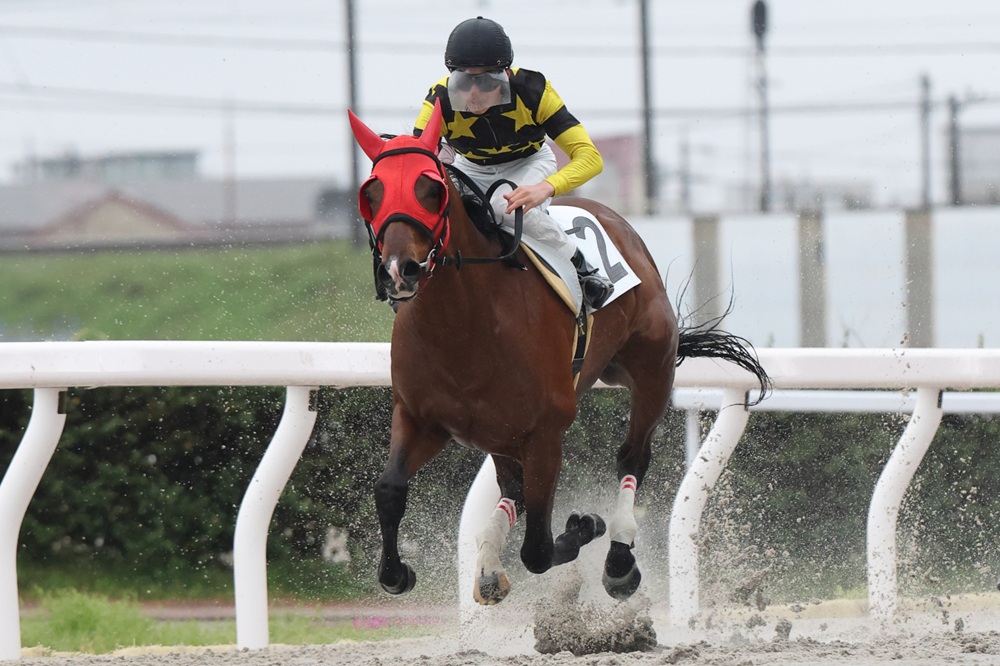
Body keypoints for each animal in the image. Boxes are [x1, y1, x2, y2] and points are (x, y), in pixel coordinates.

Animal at [348, 100, 769, 605]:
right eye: (371, 192)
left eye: (431, 188)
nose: (399, 270)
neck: (463, 326)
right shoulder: (420, 419)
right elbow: (389, 489)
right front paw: (396, 572)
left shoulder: (545, 434)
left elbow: (539, 549)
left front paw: (585, 525)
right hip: (511, 426)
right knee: (512, 488)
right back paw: (488, 566)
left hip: (651, 372)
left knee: (632, 458)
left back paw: (619, 560)